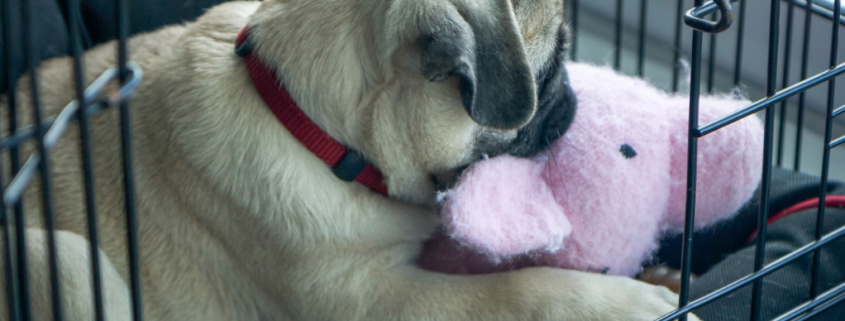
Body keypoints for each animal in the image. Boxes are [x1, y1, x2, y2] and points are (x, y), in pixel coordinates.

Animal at [1, 1, 700, 318]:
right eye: (550, 70)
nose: (571, 104)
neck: (310, 126)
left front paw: (662, 276)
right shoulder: (369, 298)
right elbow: (512, 287)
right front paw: (621, 300)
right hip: (60, 257)